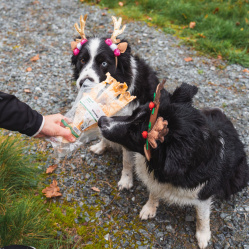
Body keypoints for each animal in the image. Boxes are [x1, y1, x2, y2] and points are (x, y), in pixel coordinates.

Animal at [71, 16, 170, 189]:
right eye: (82, 60)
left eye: (104, 63)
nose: (83, 82)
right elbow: (104, 133)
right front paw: (100, 147)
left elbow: (127, 161)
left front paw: (126, 180)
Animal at [98, 83, 248, 249]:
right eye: (134, 113)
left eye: (137, 133)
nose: (101, 121)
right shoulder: (156, 178)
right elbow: (153, 192)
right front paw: (149, 208)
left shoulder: (203, 193)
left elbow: (202, 216)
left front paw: (203, 236)